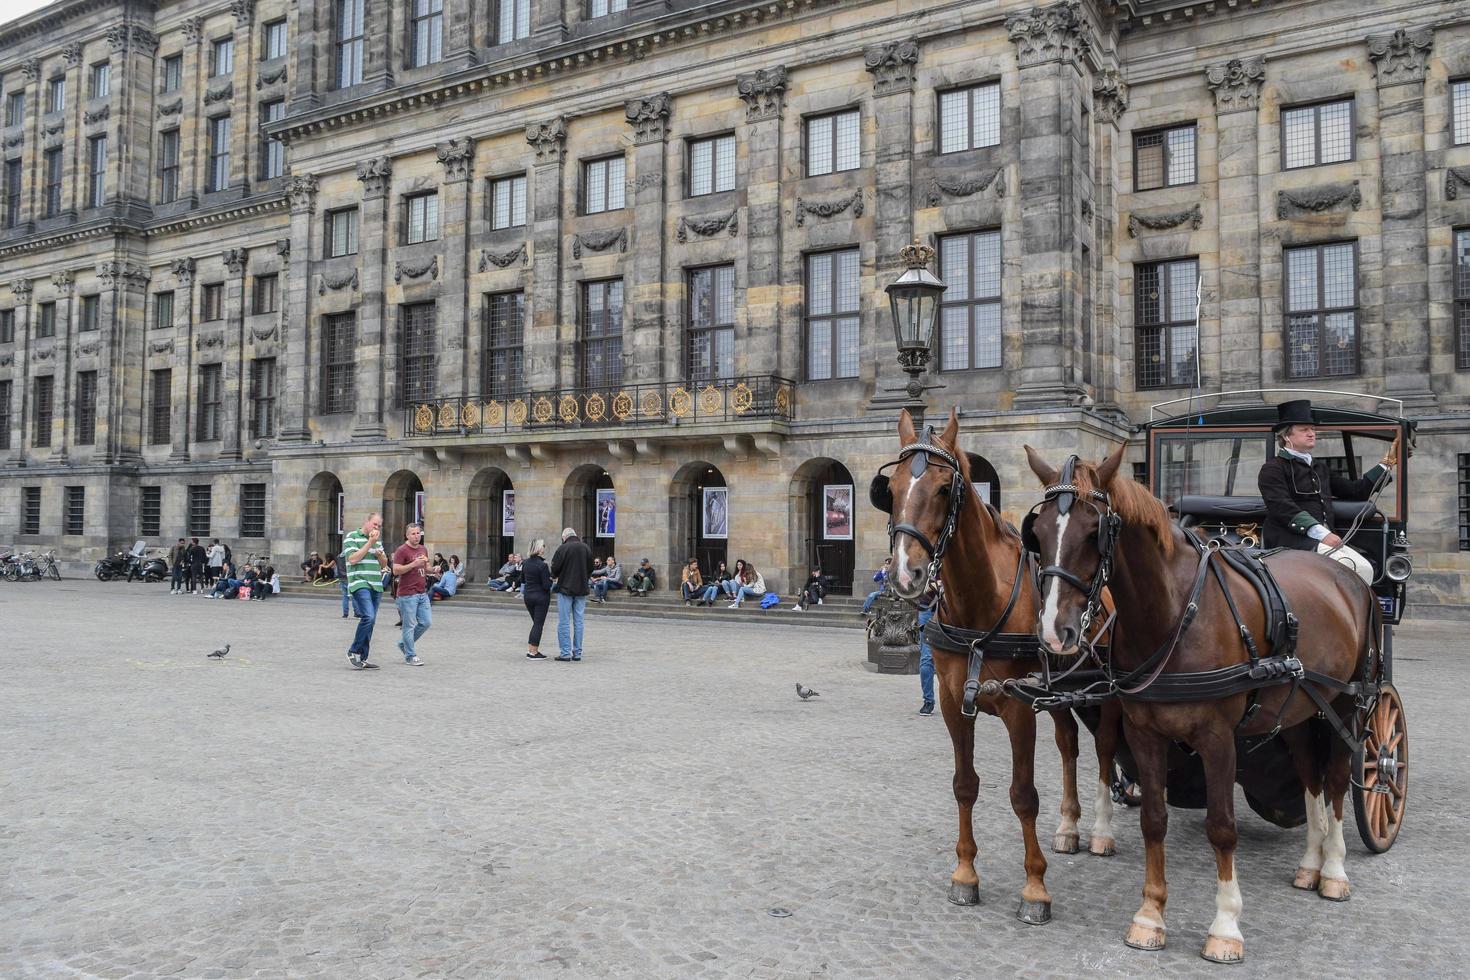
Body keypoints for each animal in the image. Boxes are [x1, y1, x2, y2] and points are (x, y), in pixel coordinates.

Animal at [882, 408, 1123, 928]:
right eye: (890, 488)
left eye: (942, 488)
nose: (905, 575)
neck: (981, 604)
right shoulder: (955, 703)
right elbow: (965, 786)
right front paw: (965, 874)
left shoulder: (1017, 708)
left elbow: (1023, 795)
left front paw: (1035, 888)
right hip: (1056, 694)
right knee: (1069, 746)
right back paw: (1069, 826)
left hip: (1111, 694)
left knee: (1105, 751)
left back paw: (1100, 832)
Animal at [1023, 446, 1375, 963]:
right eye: (1040, 531)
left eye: (1093, 532)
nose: (1053, 633)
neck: (1172, 614)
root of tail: (1344, 574)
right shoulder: (1145, 734)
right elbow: (1153, 820)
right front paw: (1149, 917)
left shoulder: (1217, 739)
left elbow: (1222, 827)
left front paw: (1225, 927)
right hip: (1297, 708)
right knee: (1309, 777)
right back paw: (1310, 865)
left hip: (1345, 706)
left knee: (1333, 783)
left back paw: (1333, 872)